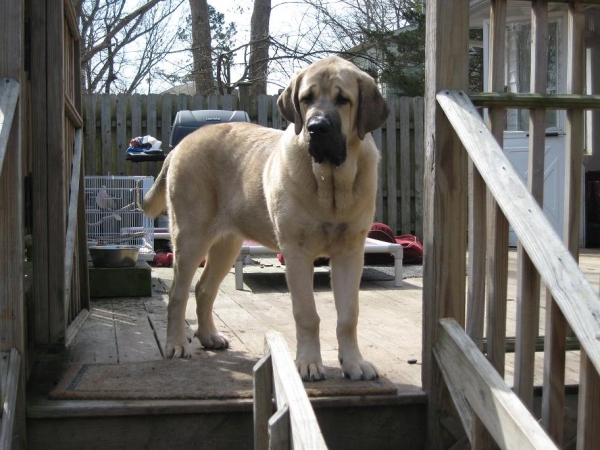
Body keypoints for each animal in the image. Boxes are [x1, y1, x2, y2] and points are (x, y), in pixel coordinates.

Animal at [144, 56, 390, 380]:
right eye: (306, 99)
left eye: (343, 100)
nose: (316, 128)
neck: (331, 183)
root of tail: (181, 146)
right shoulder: (297, 252)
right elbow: (306, 312)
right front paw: (308, 363)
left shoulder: (350, 253)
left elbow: (349, 315)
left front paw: (353, 363)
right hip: (190, 238)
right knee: (177, 293)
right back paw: (176, 344)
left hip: (227, 244)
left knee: (204, 288)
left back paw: (209, 337)